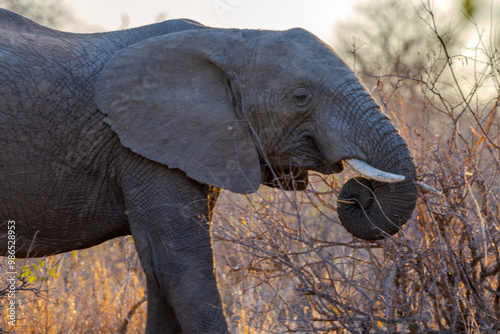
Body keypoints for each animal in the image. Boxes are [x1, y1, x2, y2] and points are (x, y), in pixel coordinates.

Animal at [0, 9, 420, 332]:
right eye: (301, 97)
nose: (359, 194)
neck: (227, 41)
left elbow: (159, 274)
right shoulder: (142, 143)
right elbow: (180, 266)